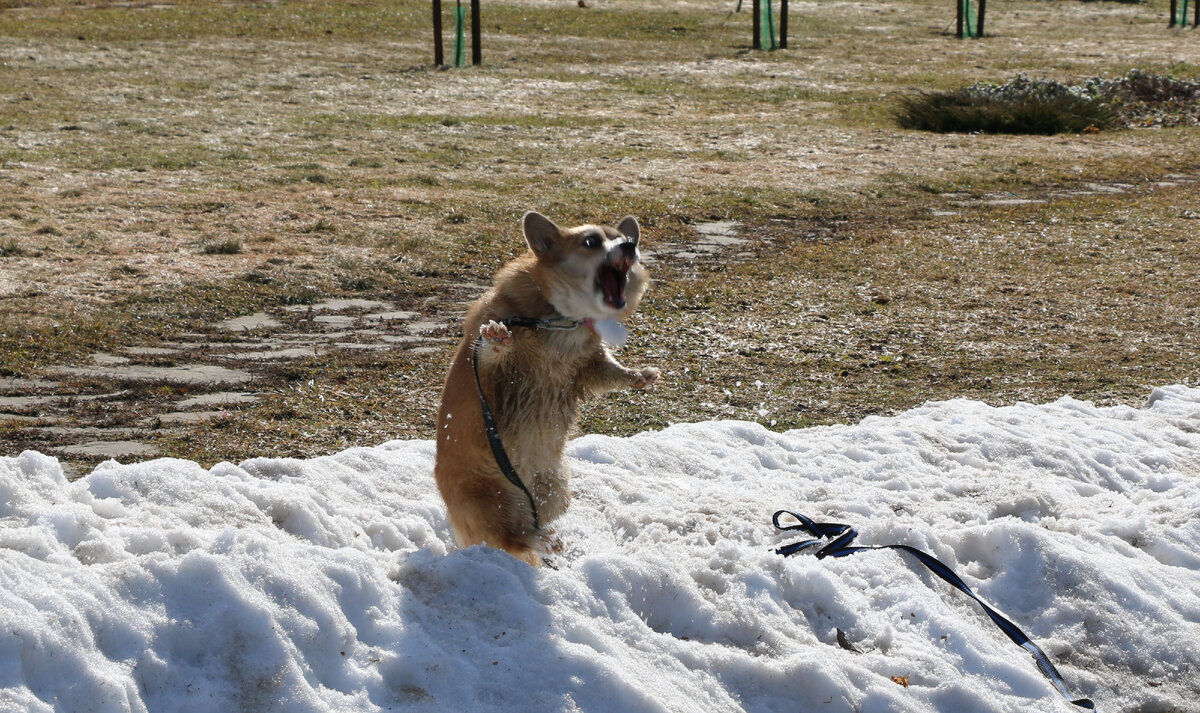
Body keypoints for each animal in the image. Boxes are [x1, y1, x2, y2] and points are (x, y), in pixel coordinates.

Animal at [434, 207, 662, 564]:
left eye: (628, 238)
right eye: (591, 241)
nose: (629, 246)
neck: (560, 317)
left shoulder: (589, 365)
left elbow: (611, 371)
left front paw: (640, 375)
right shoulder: (495, 367)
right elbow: (492, 353)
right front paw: (498, 338)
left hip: (554, 486)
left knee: (533, 524)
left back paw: (545, 538)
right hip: (488, 497)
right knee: (512, 537)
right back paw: (539, 540)